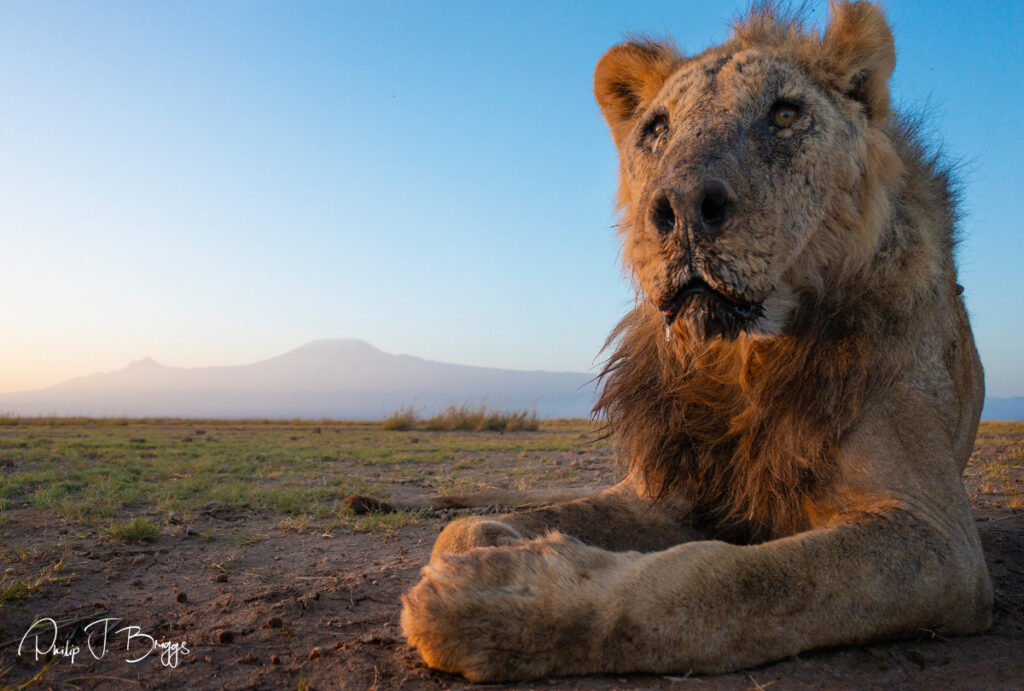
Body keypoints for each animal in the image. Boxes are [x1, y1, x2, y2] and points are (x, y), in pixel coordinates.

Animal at [393, 2, 991, 683]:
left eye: (785, 113)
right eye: (656, 129)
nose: (679, 207)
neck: (739, 358)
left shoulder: (938, 538)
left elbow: (725, 581)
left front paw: (501, 600)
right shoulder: (665, 488)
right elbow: (462, 530)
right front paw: (500, 544)